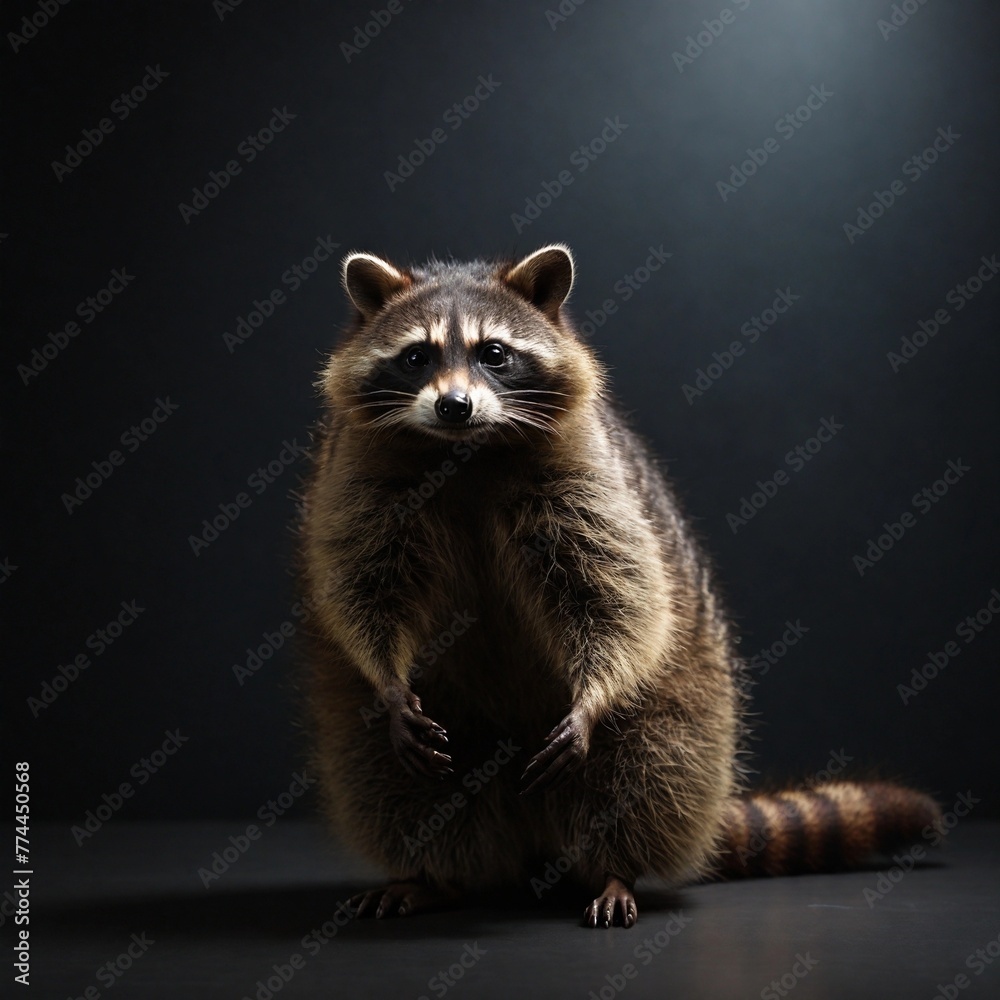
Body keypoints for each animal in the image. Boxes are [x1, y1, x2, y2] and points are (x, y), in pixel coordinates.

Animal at [299, 244, 939, 927]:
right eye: (416, 356)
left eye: (493, 353)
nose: (454, 406)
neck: (466, 452)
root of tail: (530, 836)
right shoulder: (357, 473)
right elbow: (361, 588)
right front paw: (387, 679)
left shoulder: (590, 474)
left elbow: (618, 592)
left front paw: (594, 696)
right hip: (389, 727)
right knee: (389, 781)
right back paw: (432, 875)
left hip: (690, 702)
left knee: (648, 768)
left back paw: (613, 869)